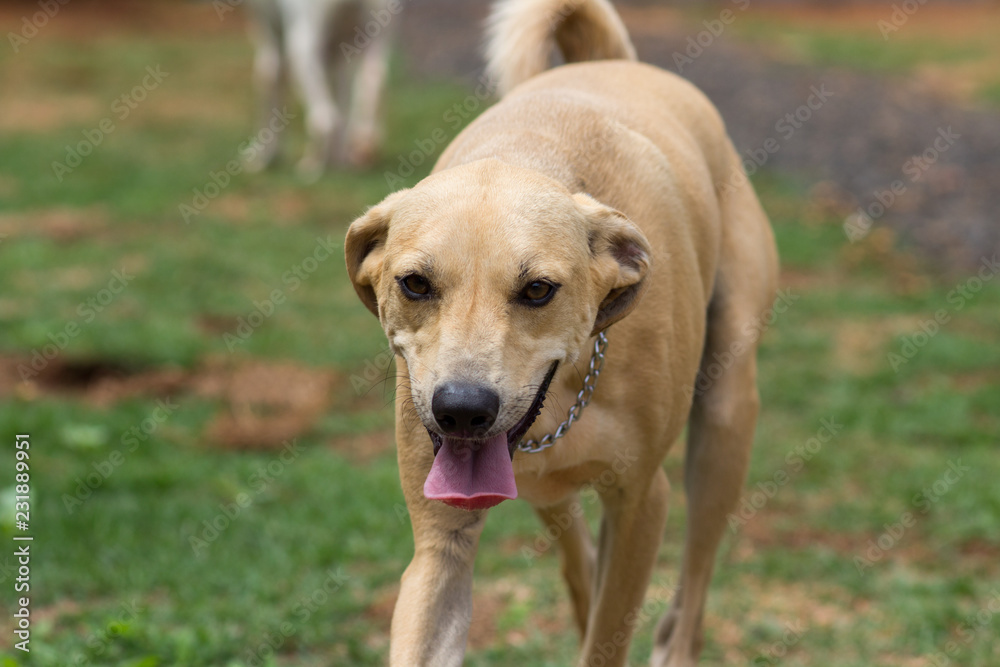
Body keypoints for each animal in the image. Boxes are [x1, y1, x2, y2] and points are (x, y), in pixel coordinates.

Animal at [244, 0, 396, 176]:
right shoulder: (343, 54)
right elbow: (344, 109)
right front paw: (339, 160)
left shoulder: (272, 36)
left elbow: (268, 84)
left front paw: (265, 158)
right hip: (378, 38)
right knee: (373, 85)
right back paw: (360, 151)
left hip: (302, 46)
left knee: (326, 117)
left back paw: (313, 164)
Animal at [348, 2, 776, 664]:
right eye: (415, 284)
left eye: (538, 290)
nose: (462, 410)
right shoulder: (441, 543)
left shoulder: (643, 502)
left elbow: (608, 636)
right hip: (545, 491)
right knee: (577, 552)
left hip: (725, 425)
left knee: (695, 576)